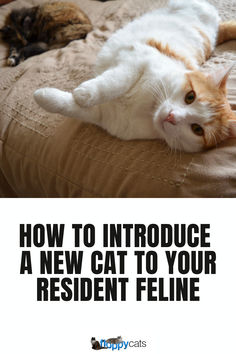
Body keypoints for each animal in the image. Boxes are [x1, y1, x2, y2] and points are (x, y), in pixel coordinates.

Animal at [33, 0, 236, 152]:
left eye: (197, 129)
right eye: (190, 97)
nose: (171, 116)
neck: (146, 108)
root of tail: (216, 28)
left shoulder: (103, 115)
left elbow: (69, 106)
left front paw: (45, 97)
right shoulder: (136, 59)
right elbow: (114, 83)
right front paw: (85, 93)